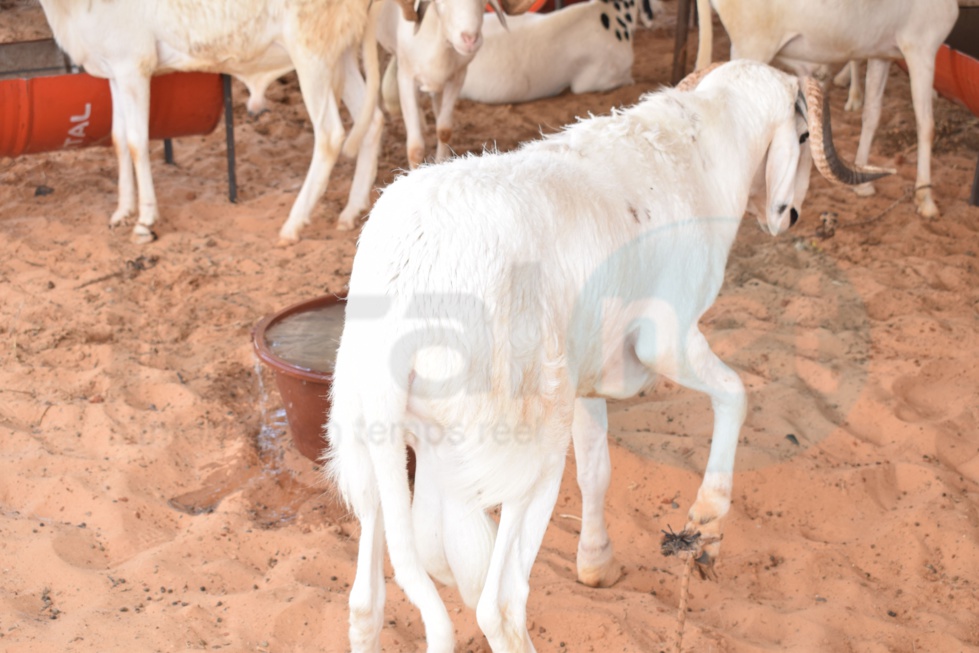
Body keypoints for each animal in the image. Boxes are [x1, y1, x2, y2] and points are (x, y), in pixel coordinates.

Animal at [328, 61, 888, 652]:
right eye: (803, 137)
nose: (790, 216)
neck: (699, 151)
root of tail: (407, 286)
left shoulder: (587, 375)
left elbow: (596, 471)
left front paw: (597, 565)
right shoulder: (667, 339)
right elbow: (735, 395)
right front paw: (707, 527)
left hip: (376, 446)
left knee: (369, 600)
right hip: (522, 451)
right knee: (498, 605)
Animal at [696, 0, 964, 219]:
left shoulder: (882, 54)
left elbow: (872, 114)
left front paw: (861, 184)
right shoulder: (921, 50)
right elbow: (926, 125)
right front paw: (926, 200)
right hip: (751, 45)